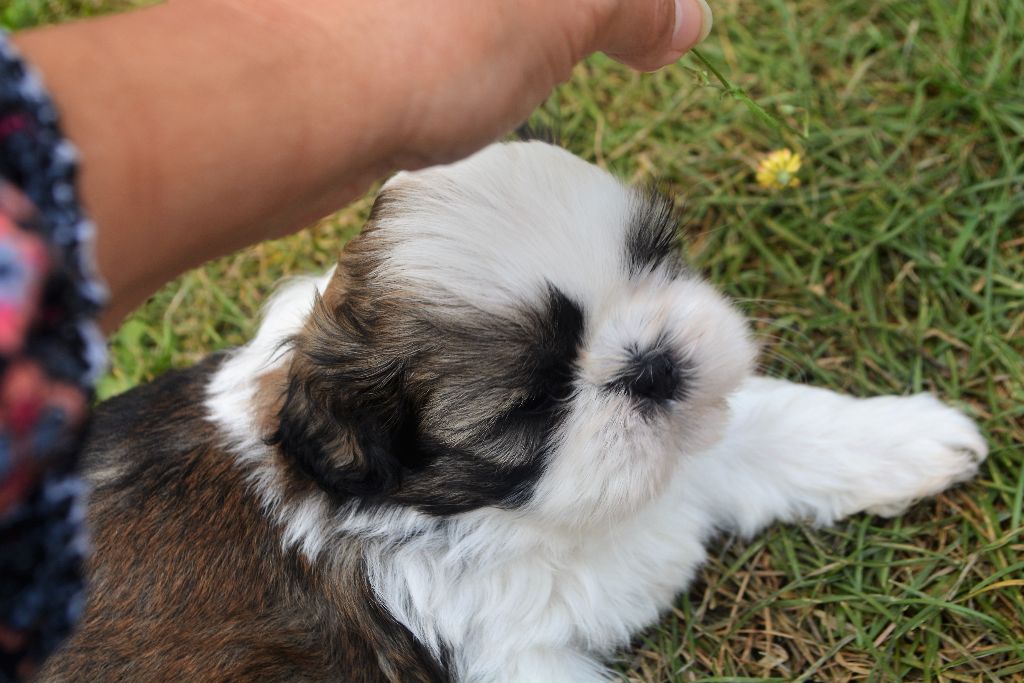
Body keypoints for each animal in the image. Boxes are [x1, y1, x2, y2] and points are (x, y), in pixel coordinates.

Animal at [40, 141, 987, 682]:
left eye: (654, 257)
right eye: (532, 403)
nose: (652, 364)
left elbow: (768, 426)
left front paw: (906, 437)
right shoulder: (512, 662)